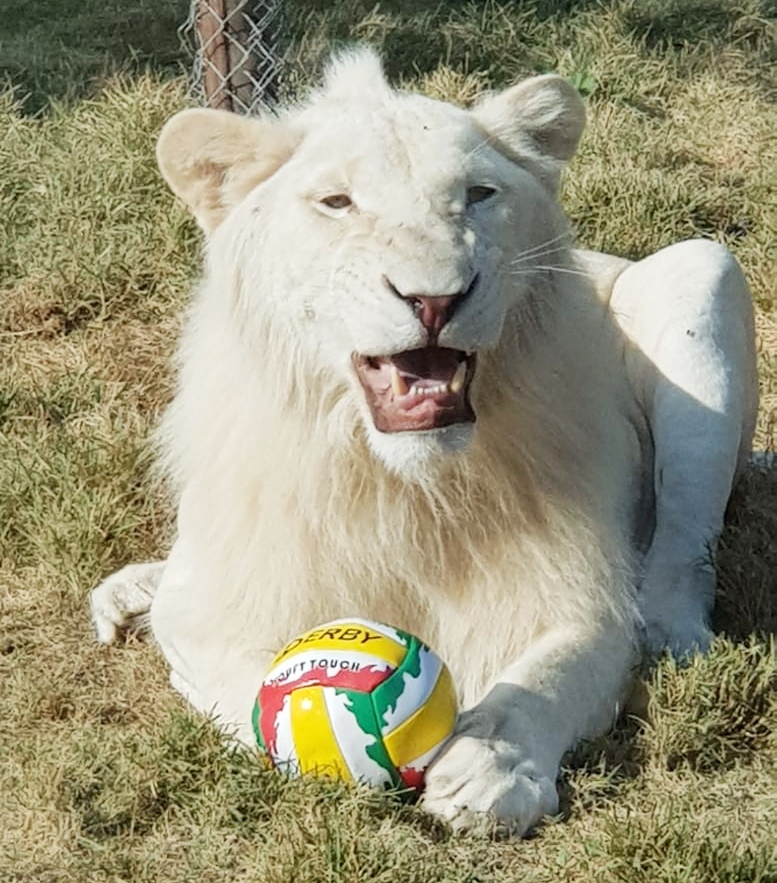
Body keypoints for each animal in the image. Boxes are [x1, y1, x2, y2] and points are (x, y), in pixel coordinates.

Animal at [88, 48, 756, 836]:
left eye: (478, 195)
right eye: (337, 203)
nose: (436, 299)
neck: (402, 482)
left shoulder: (585, 585)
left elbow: (556, 669)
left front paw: (491, 766)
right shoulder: (211, 601)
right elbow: (247, 674)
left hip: (702, 272)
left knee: (684, 548)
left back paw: (674, 637)